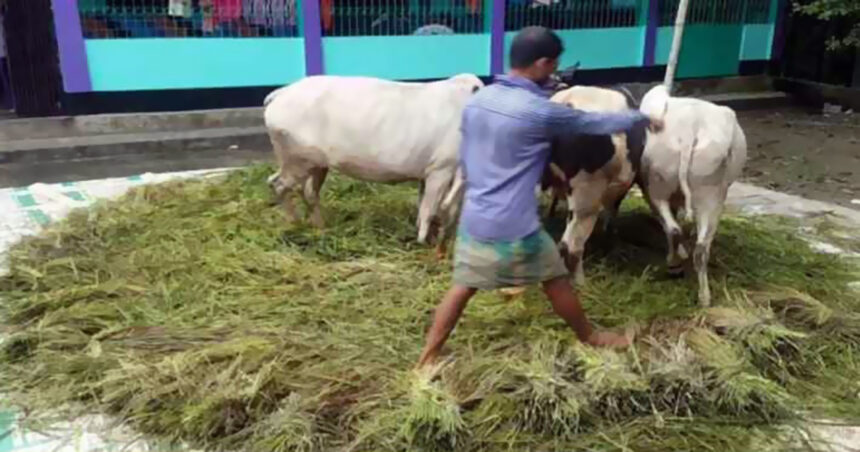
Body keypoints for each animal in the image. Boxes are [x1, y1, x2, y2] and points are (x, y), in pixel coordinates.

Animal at [262, 73, 484, 247]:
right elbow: (429, 209)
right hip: (296, 159)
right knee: (277, 184)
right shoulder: (441, 167)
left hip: (317, 164)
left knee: (307, 191)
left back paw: (321, 227)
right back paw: (293, 224)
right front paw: (423, 242)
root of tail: (279, 94)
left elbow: (428, 205)